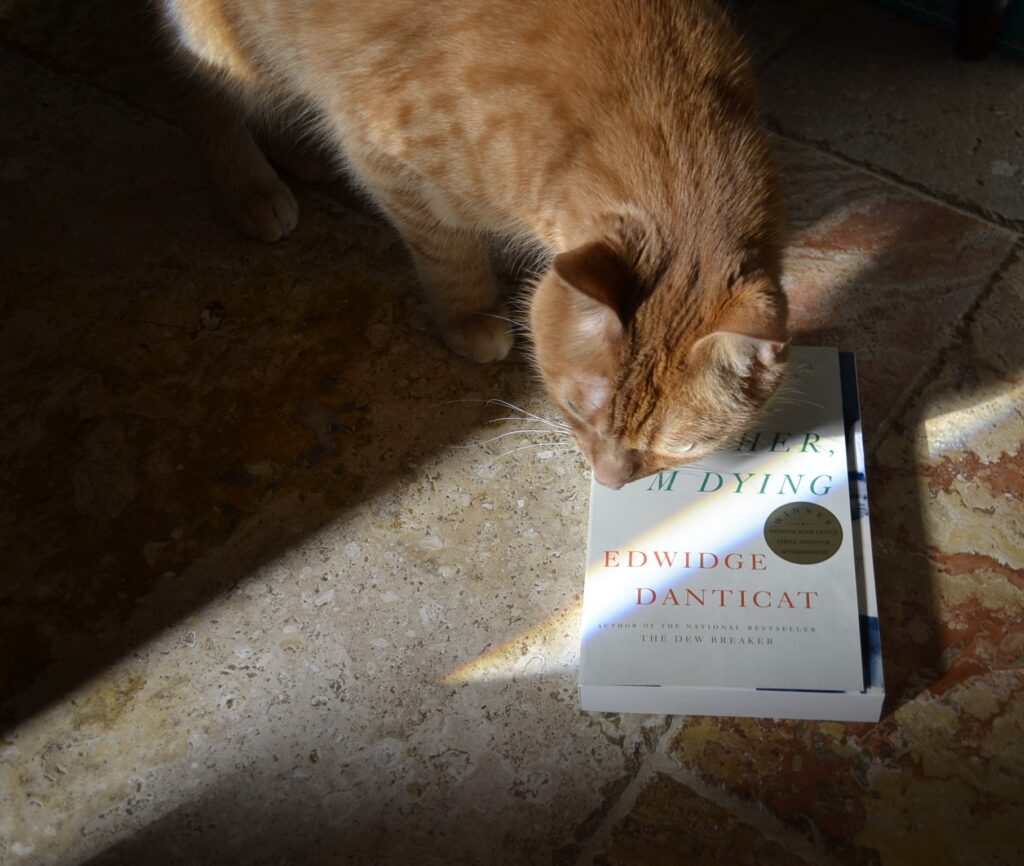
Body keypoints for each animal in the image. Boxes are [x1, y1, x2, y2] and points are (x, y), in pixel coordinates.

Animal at [159, 0, 786, 487]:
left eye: (680, 447)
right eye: (574, 407)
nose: (610, 481)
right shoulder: (385, 160)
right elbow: (449, 256)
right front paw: (471, 315)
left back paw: (299, 153)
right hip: (227, 48)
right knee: (196, 93)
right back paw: (252, 186)